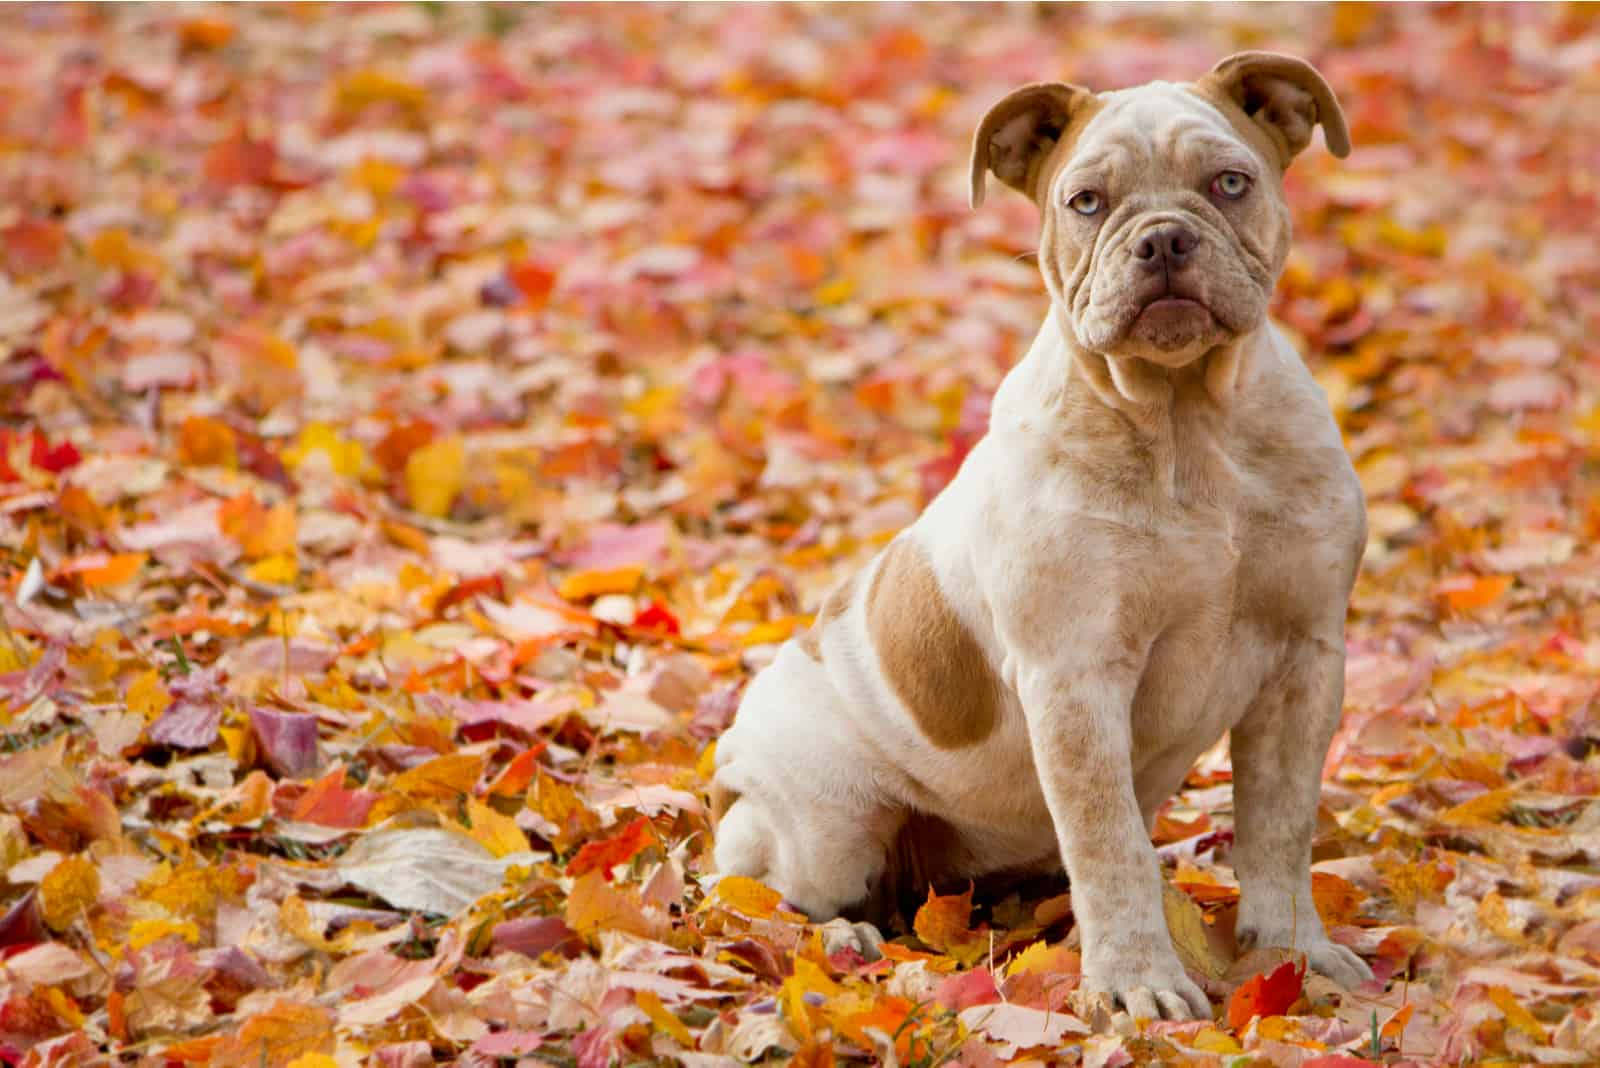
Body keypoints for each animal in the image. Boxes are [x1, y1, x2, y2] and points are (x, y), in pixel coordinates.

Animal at [713, 54, 1376, 1023]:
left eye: (1230, 182)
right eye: (1086, 202)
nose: (1164, 241)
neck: (1189, 424)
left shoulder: (1304, 660)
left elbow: (1281, 825)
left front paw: (1293, 950)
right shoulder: (1076, 681)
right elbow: (1109, 845)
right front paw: (1138, 982)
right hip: (824, 821)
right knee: (761, 898)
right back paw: (839, 940)